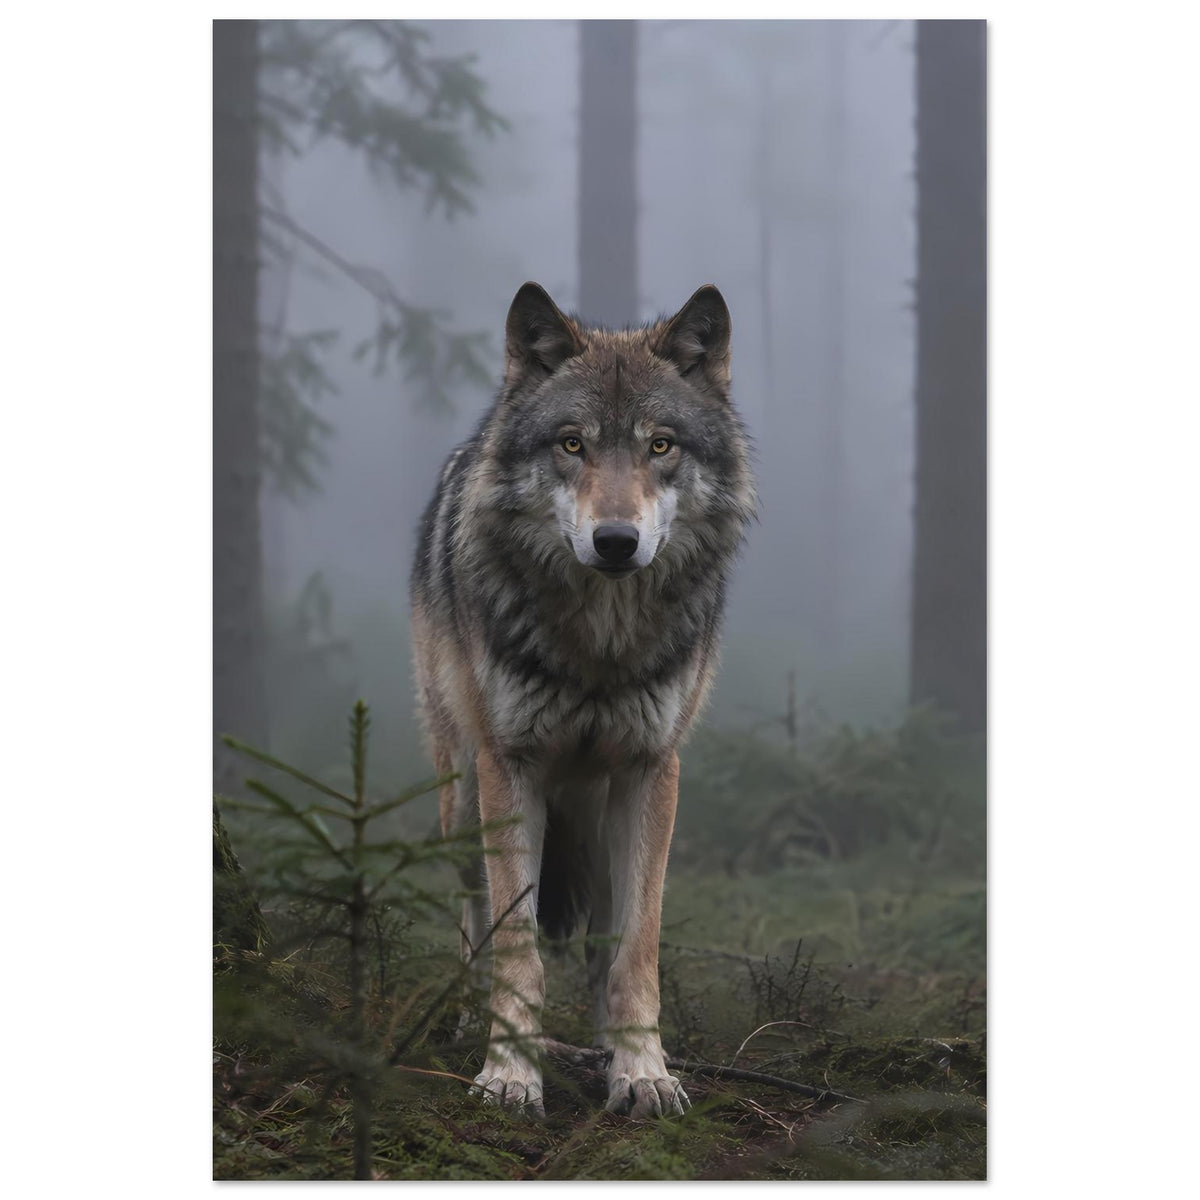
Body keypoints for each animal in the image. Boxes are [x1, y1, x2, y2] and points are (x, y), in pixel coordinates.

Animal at [410, 281, 754, 1119]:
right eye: (572, 445)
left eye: (661, 446)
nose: (616, 542)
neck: (600, 644)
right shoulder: (511, 767)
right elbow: (517, 948)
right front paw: (508, 1075)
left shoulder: (651, 770)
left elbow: (637, 950)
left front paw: (643, 1071)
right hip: (462, 798)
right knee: (473, 919)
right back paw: (463, 1022)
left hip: (597, 816)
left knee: (602, 937)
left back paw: (605, 1047)